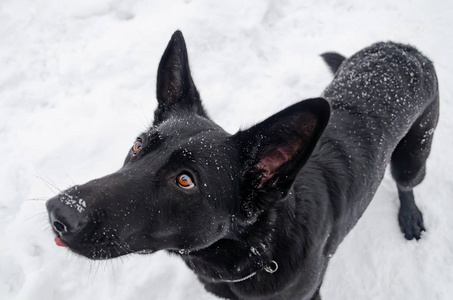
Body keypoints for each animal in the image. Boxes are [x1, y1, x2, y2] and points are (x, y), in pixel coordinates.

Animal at [46, 31, 438, 298]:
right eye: (139, 144)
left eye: (186, 180)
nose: (59, 212)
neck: (256, 246)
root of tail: (402, 48)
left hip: (414, 157)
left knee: (406, 183)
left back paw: (409, 215)